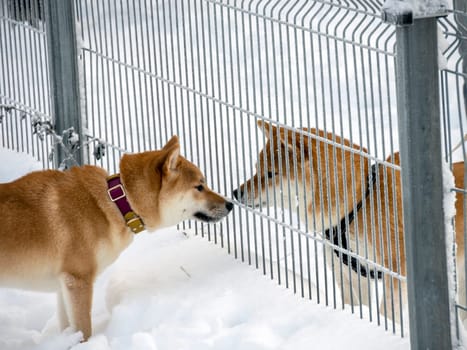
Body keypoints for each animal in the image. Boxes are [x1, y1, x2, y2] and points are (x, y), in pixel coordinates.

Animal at [0, 135, 234, 340]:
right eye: (199, 186)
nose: (231, 204)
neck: (116, 202)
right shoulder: (78, 280)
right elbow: (84, 331)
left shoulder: (63, 285)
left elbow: (69, 329)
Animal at [234, 120, 464, 322]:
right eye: (256, 169)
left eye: (270, 174)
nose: (236, 192)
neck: (360, 203)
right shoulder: (348, 271)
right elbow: (357, 308)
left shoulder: (398, 270)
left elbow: (387, 313)